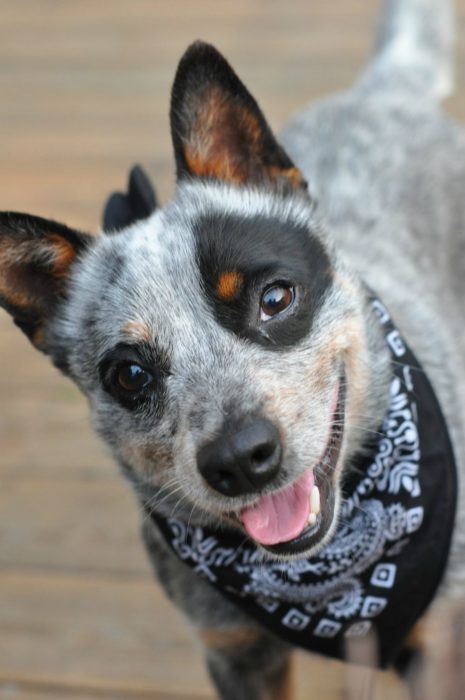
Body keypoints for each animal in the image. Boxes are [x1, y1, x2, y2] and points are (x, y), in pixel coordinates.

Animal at [0, 0, 464, 696]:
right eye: (128, 374)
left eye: (274, 297)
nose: (242, 459)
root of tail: (382, 93)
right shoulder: (236, 652)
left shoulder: (440, 644)